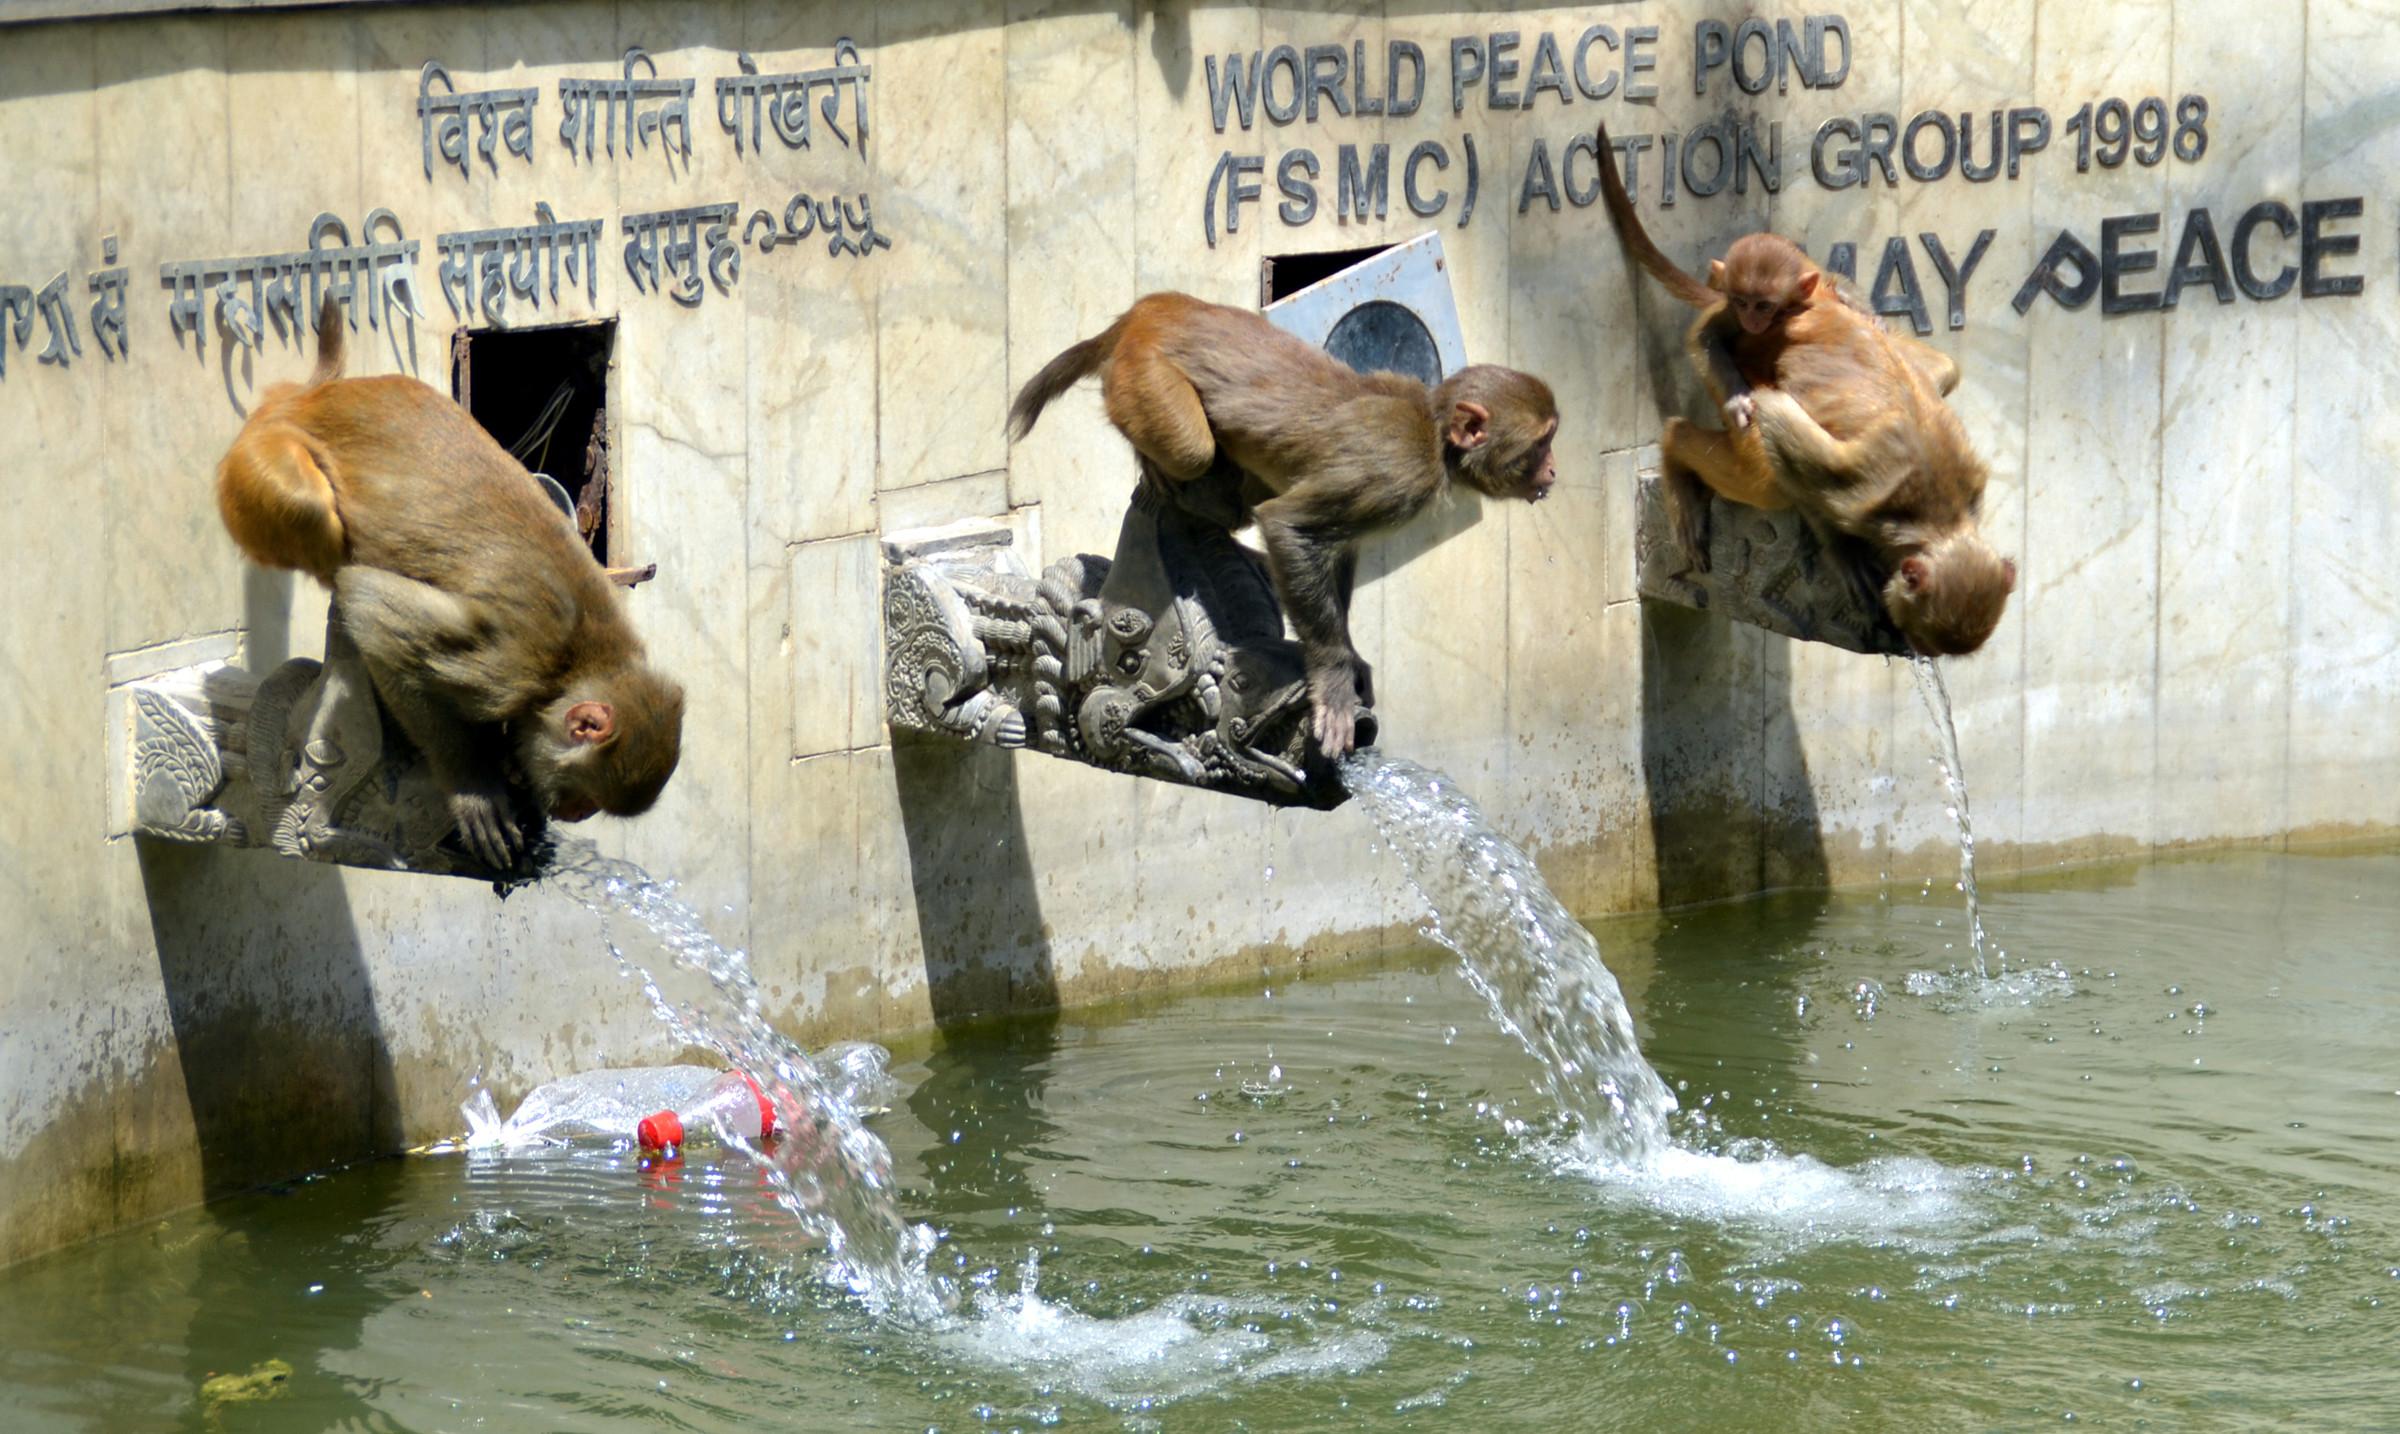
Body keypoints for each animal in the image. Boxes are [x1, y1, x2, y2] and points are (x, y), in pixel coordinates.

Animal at [216, 297, 686, 872]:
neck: (575, 664)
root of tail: (304, 398)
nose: (575, 815)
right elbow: (372, 609)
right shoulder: (504, 664)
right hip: (255, 465)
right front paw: (472, 785)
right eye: (584, 797)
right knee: (319, 524)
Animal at [1008, 293, 1555, 762]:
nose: (1552, 471)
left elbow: (1334, 548)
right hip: (1143, 374)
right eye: (1541, 444)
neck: (1433, 431)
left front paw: (1349, 661)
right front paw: (1333, 680)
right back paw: (1156, 466)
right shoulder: (1398, 477)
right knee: (1194, 453)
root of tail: (1154, 308)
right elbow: (1289, 527)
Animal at [1603, 123, 2016, 661]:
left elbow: (1938, 373)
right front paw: (1840, 549)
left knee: (1939, 367)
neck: (1940, 515)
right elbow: (1782, 430)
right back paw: (1676, 448)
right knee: (1759, 471)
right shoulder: (1860, 493)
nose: (1919, 650)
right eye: (1924, 637)